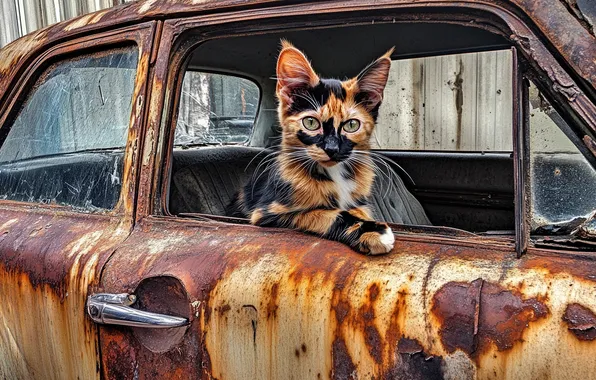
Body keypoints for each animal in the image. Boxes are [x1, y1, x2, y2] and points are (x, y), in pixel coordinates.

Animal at [228, 40, 396, 255]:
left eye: (351, 125)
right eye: (310, 123)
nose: (332, 148)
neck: (335, 173)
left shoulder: (361, 202)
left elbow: (357, 209)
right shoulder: (268, 212)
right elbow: (324, 213)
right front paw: (371, 232)